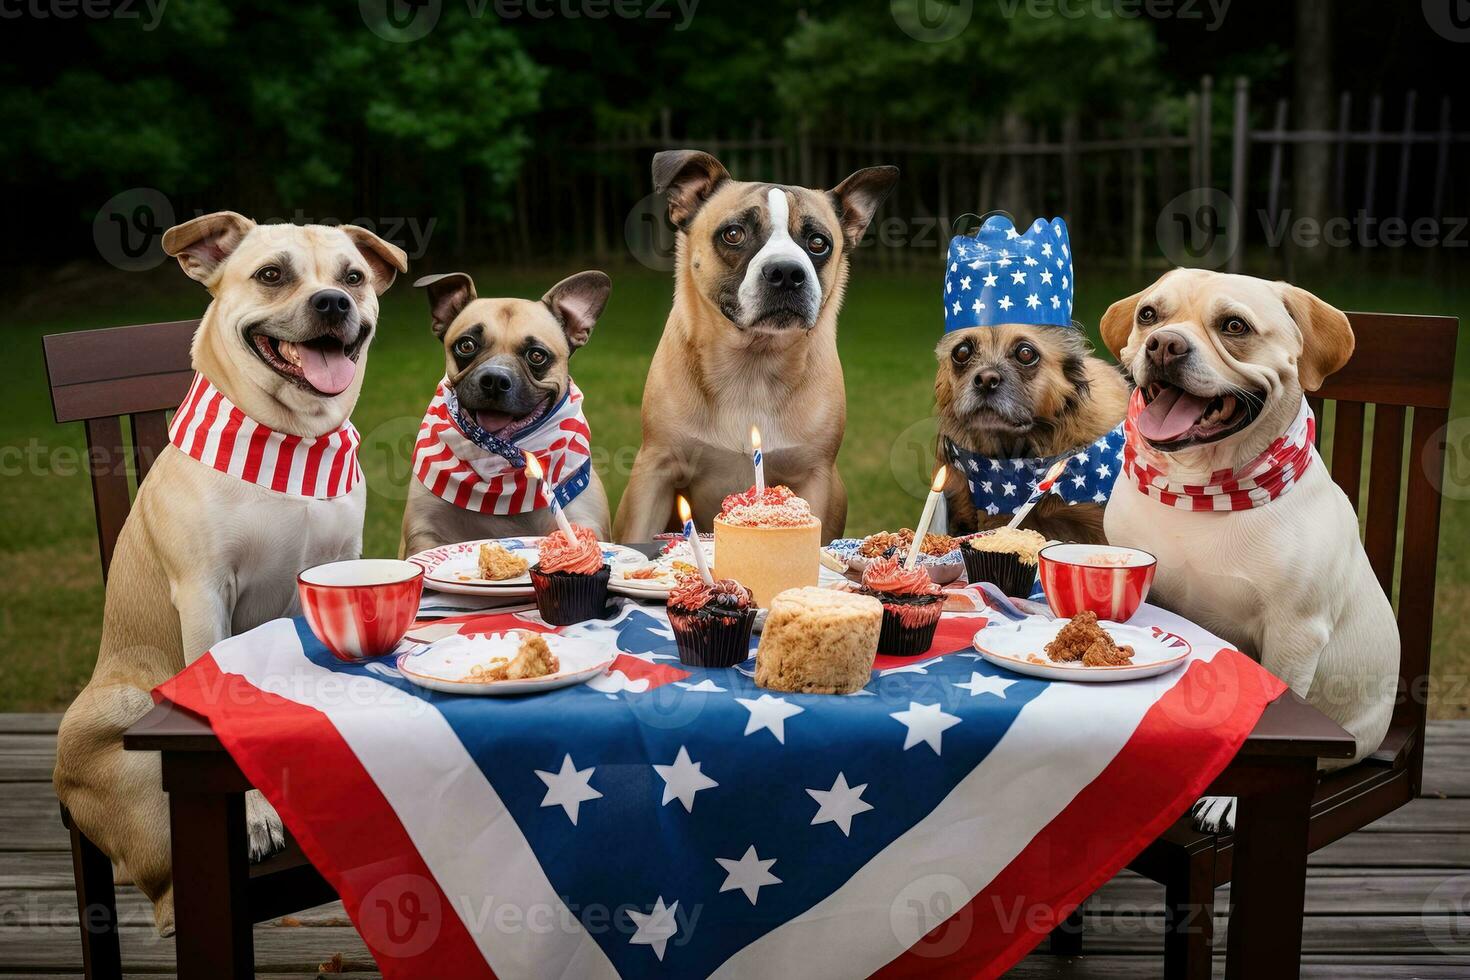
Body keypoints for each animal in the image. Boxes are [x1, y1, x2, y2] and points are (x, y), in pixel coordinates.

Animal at [608, 151, 893, 543]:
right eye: (733, 234)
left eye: (818, 242)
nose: (787, 273)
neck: (753, 362)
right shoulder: (656, 470)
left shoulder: (814, 477)